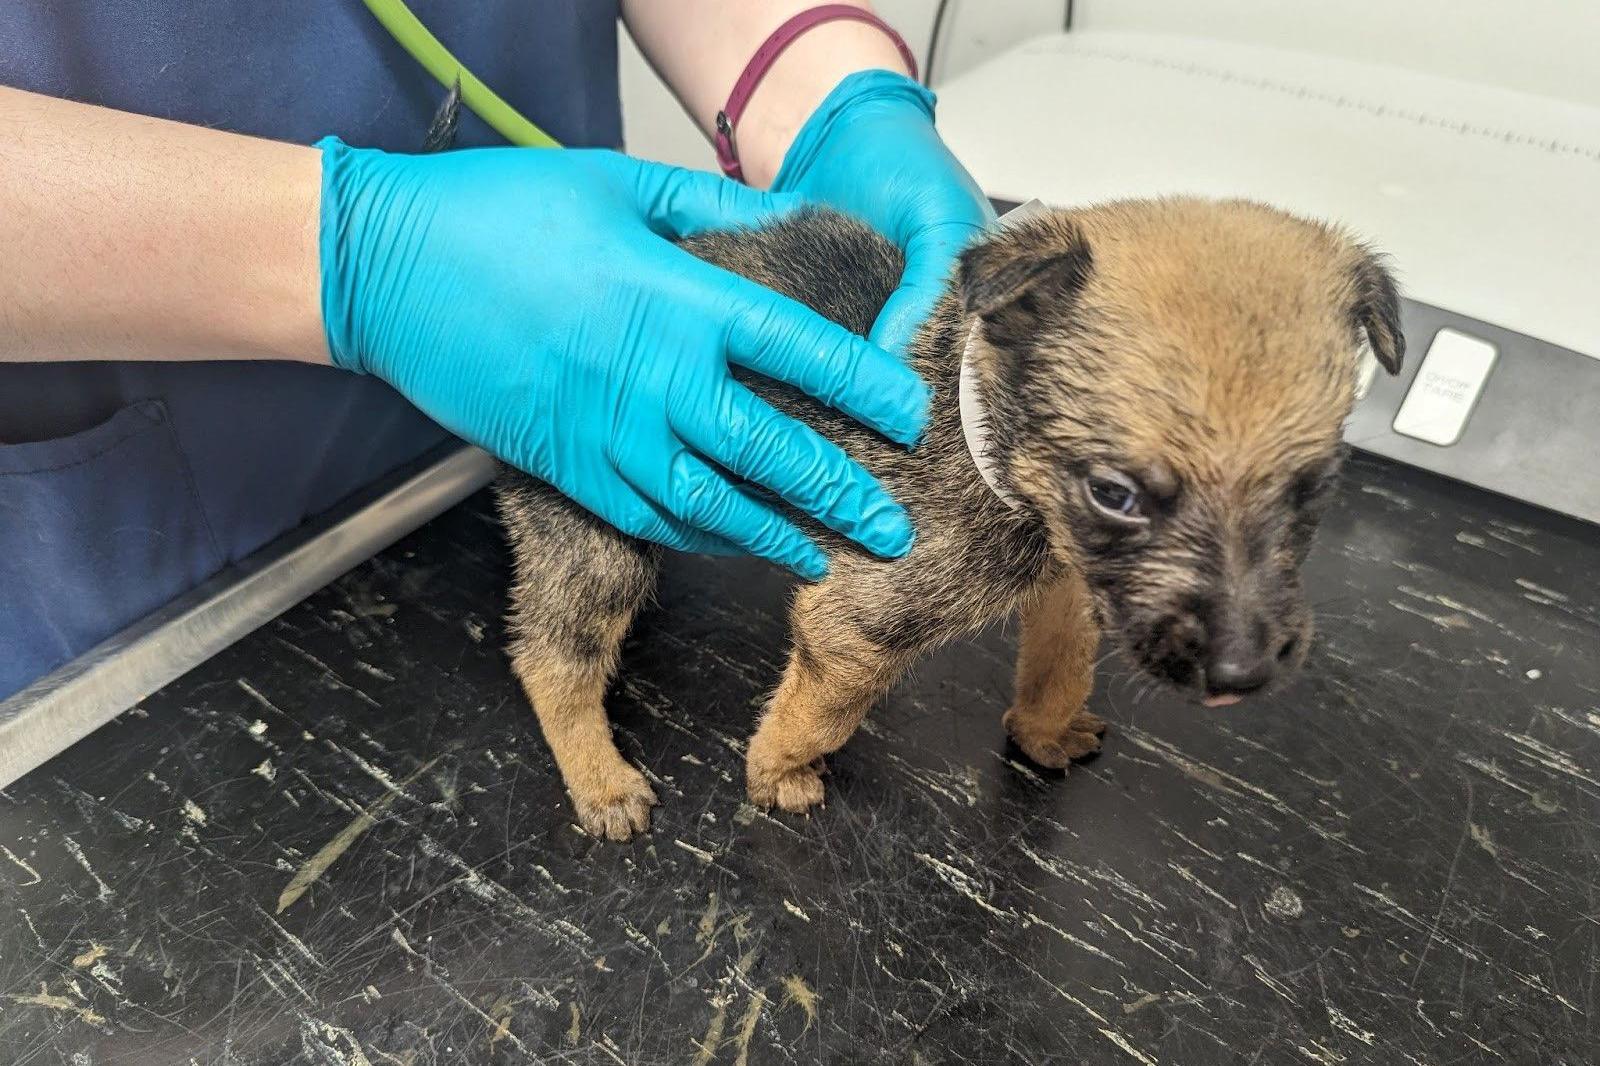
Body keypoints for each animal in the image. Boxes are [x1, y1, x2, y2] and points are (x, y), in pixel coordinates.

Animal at [489, 195, 1401, 832]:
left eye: (1312, 489)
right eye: (1115, 493)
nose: (1240, 675)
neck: (981, 426)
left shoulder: (1069, 581)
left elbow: (1060, 663)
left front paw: (1042, 732)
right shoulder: (859, 623)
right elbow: (823, 711)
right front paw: (776, 772)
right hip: (594, 526)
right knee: (553, 660)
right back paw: (602, 781)